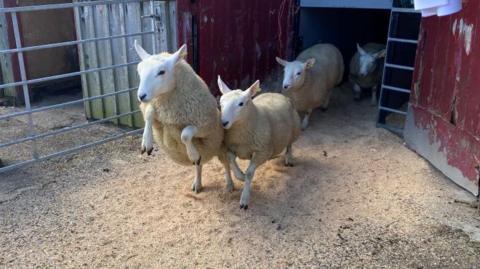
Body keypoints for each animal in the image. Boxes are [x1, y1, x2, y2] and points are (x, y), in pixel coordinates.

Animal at [134, 40, 233, 193]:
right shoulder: (158, 114)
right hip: (205, 151)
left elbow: (185, 134)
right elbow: (149, 114)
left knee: (226, 165)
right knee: (199, 165)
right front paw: (146, 142)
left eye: (161, 72)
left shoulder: (205, 127)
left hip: (220, 147)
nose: (141, 96)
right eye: (139, 71)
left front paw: (192, 154)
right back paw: (197, 183)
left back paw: (229, 184)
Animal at [218, 76, 300, 208]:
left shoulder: (262, 151)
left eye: (241, 104)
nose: (223, 123)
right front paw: (240, 176)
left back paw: (289, 158)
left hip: (295, 130)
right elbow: (231, 161)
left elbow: (250, 173)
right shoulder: (232, 148)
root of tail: (276, 93)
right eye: (221, 103)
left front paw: (244, 198)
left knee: (289, 145)